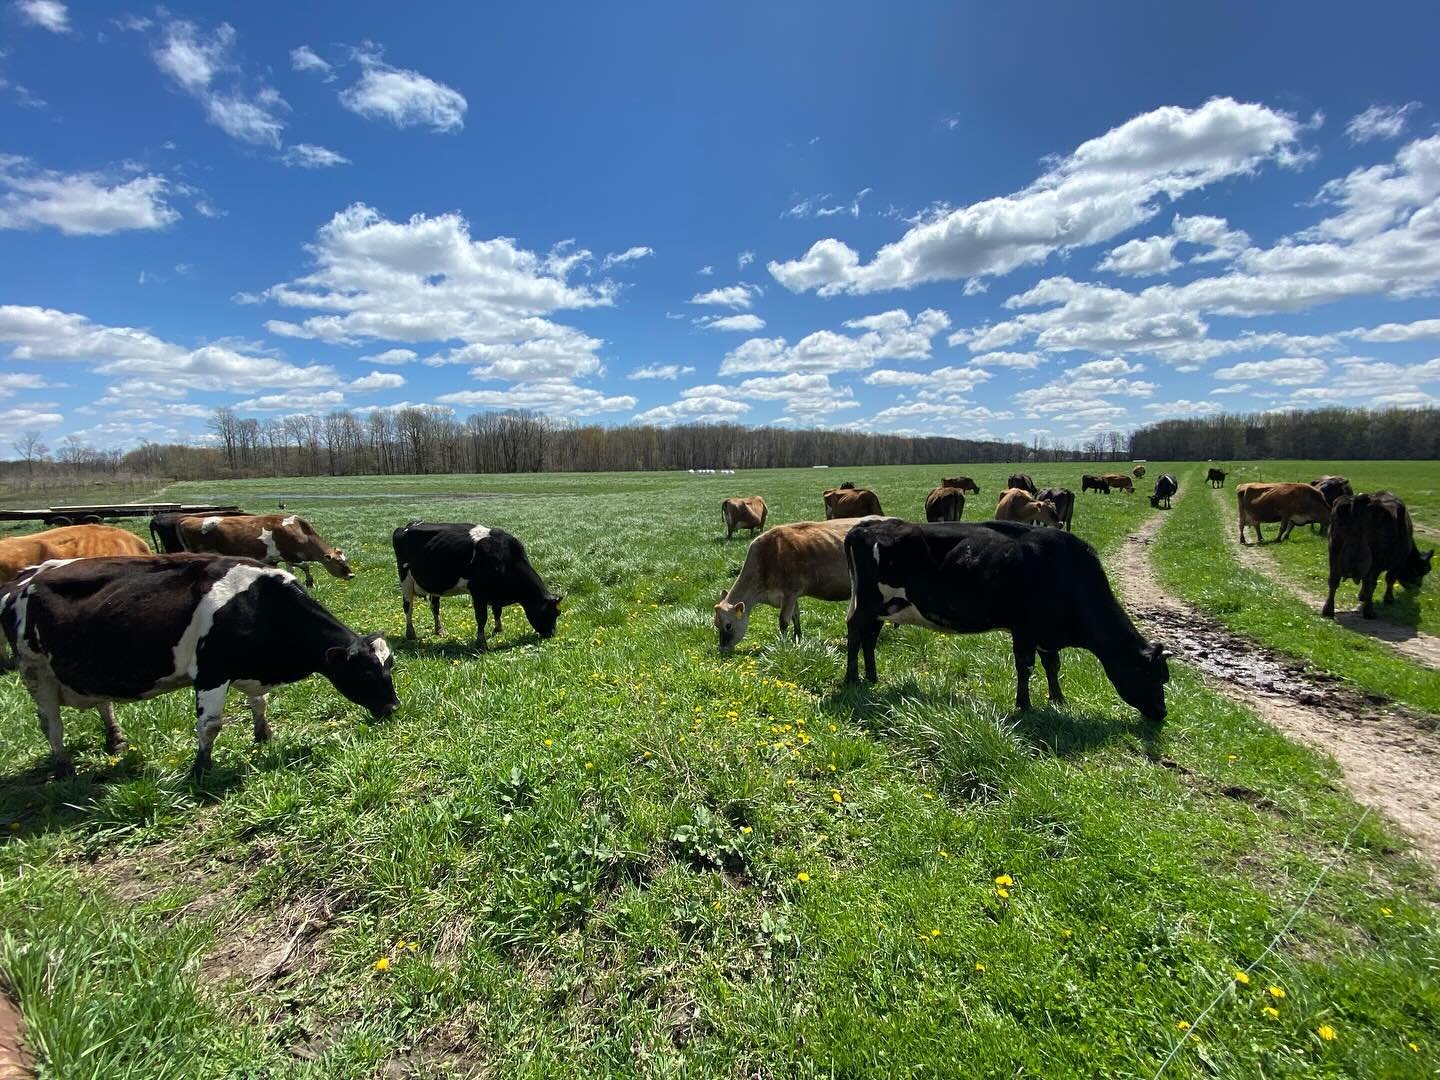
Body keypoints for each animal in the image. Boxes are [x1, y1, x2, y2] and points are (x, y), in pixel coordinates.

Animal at [0, 558, 397, 777]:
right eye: (365, 672)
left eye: (389, 667)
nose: (392, 707)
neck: (256, 603)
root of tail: (23, 578)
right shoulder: (212, 671)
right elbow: (210, 725)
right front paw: (201, 769)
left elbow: (260, 703)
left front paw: (264, 736)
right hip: (35, 671)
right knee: (50, 723)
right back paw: (64, 767)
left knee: (102, 702)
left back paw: (116, 740)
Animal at [174, 515, 351, 593]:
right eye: (339, 562)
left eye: (345, 559)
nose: (352, 575)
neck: (300, 532)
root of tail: (186, 518)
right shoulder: (287, 554)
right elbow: (303, 567)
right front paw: (308, 583)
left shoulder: (281, 558)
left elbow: (296, 568)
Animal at [394, 524, 561, 650]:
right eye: (549, 613)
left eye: (558, 613)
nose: (551, 634)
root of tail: (407, 526)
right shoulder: (478, 592)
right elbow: (482, 618)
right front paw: (481, 643)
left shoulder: (495, 593)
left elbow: (497, 611)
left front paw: (498, 630)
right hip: (405, 579)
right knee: (408, 607)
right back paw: (410, 634)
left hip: (434, 585)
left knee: (435, 607)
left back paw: (439, 630)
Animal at [717, 515, 881, 650]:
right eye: (716, 624)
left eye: (728, 625)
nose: (722, 649)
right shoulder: (792, 596)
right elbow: (795, 616)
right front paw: (797, 638)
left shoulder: (790, 592)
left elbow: (783, 621)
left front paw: (782, 645)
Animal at [840, 521, 1169, 722]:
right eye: (1151, 675)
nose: (1162, 713)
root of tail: (865, 525)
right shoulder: (1025, 630)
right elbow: (1025, 667)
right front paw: (1025, 705)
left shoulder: (1046, 633)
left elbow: (1052, 665)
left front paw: (1058, 699)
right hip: (868, 603)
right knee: (856, 633)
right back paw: (852, 679)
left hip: (885, 607)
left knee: (870, 637)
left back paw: (872, 677)